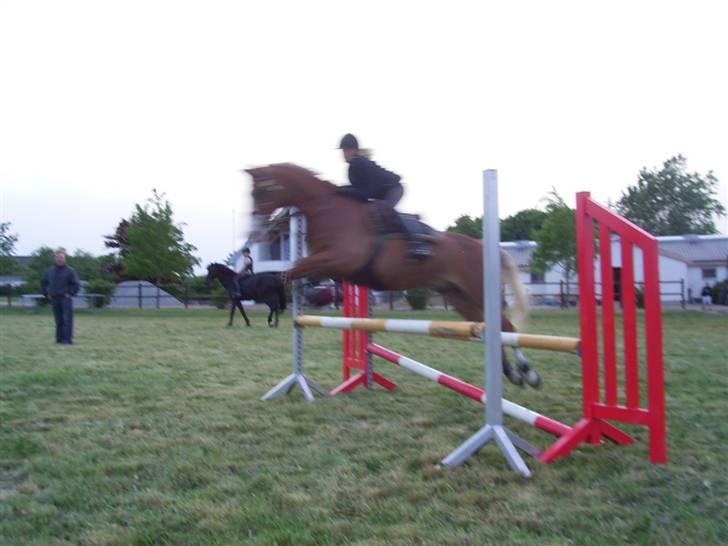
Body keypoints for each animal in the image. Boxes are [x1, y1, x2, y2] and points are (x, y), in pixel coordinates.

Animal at [245, 162, 540, 386]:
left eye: (261, 191)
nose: (256, 232)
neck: (327, 209)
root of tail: (484, 247)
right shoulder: (330, 265)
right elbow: (304, 273)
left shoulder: (340, 259)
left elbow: (295, 270)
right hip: (459, 297)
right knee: (491, 328)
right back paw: (512, 374)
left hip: (477, 290)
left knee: (507, 327)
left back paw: (529, 374)